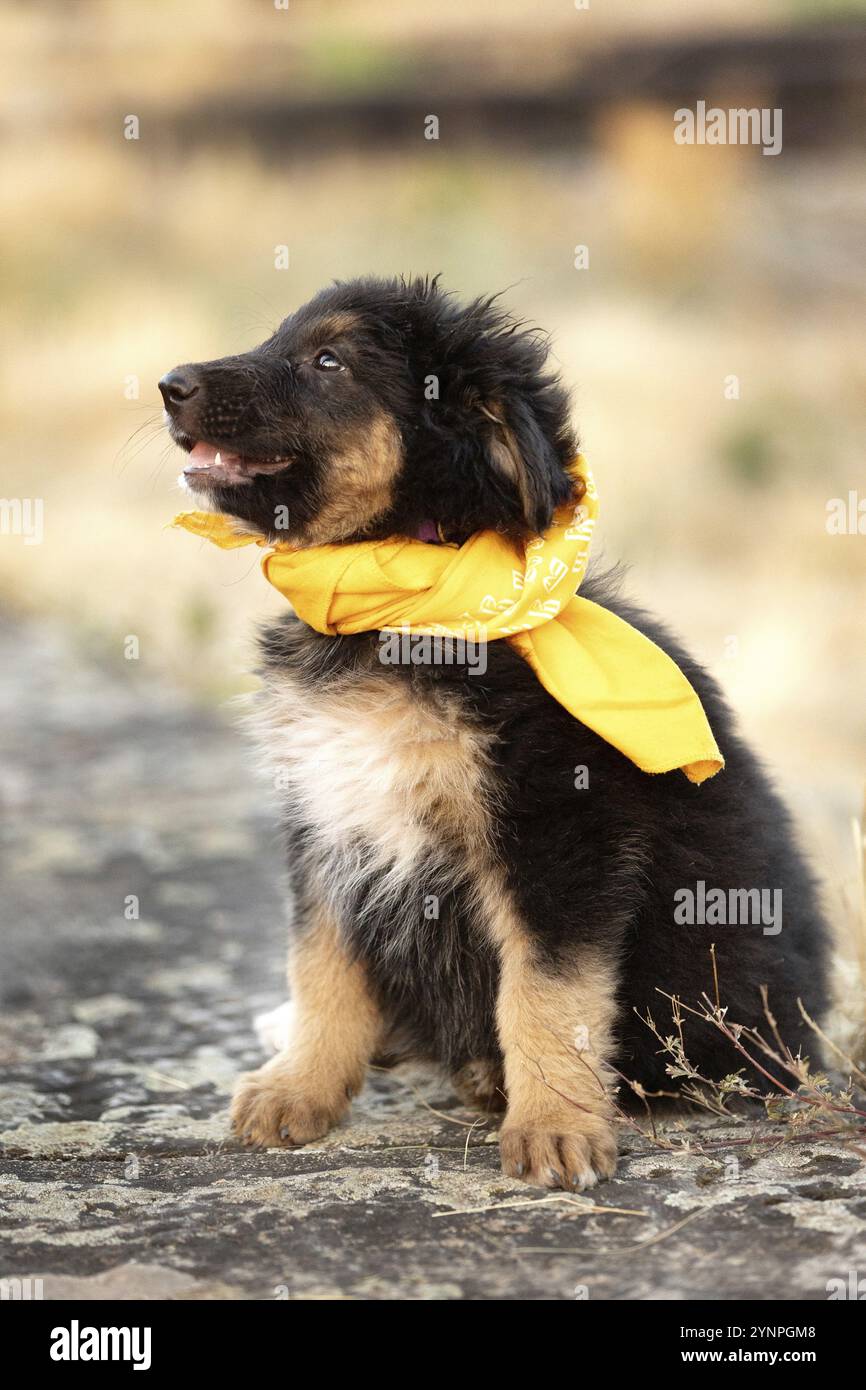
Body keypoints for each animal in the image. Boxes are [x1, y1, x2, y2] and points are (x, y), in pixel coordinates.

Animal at [159, 276, 828, 1189]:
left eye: (328, 360)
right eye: (278, 339)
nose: (169, 385)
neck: (402, 607)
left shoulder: (560, 832)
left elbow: (547, 994)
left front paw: (554, 1126)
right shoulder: (327, 817)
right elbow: (323, 967)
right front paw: (300, 1088)